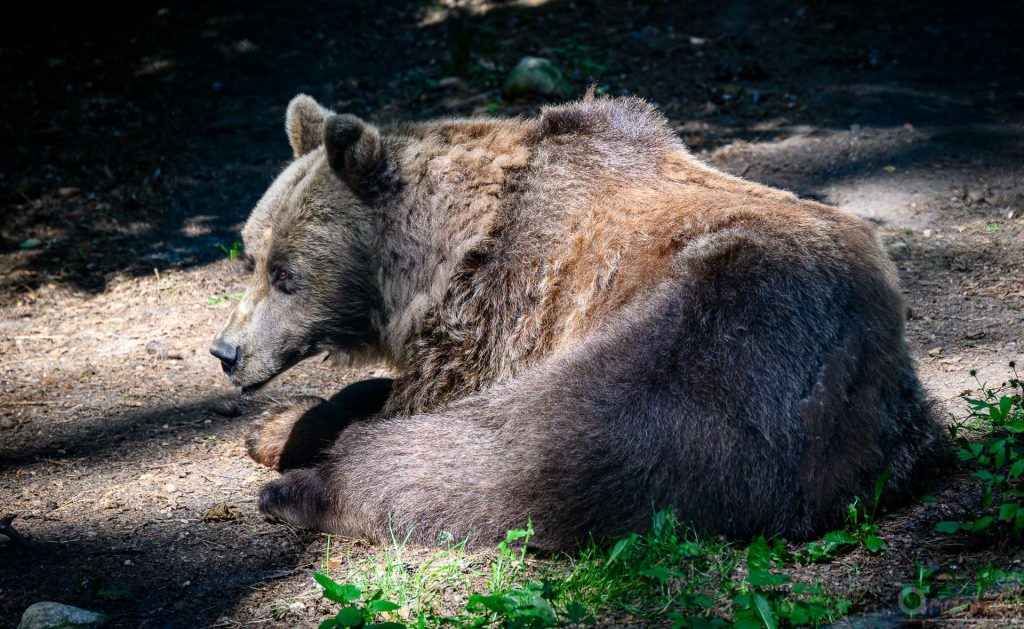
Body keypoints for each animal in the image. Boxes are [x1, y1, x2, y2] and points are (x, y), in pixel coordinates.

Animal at [207, 92, 942, 553]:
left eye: (288, 273)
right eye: (251, 253)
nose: (226, 351)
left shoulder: (504, 306)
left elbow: (425, 407)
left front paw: (292, 438)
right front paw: (277, 424)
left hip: (716, 333)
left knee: (517, 454)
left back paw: (299, 491)